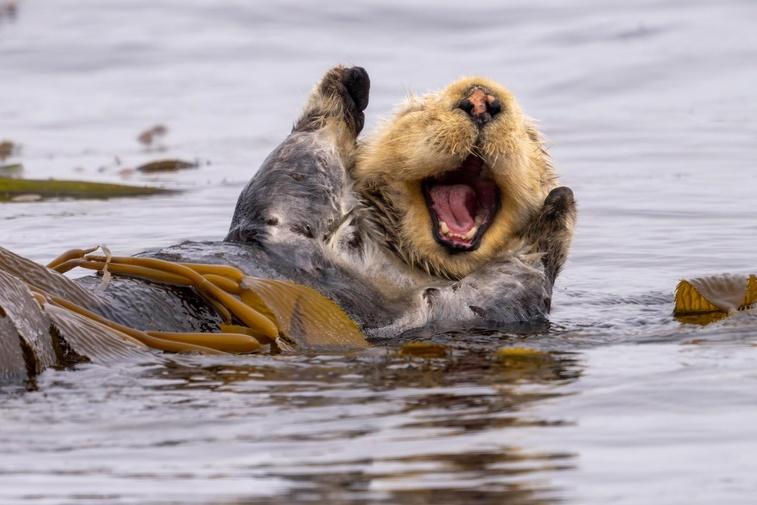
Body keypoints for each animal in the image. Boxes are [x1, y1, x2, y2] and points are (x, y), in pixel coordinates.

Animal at [1, 65, 575, 367]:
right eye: (417, 113)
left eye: (530, 135)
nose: (480, 99)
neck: (392, 265)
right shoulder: (281, 216)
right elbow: (299, 163)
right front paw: (346, 84)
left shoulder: (468, 312)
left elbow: (510, 285)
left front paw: (559, 208)